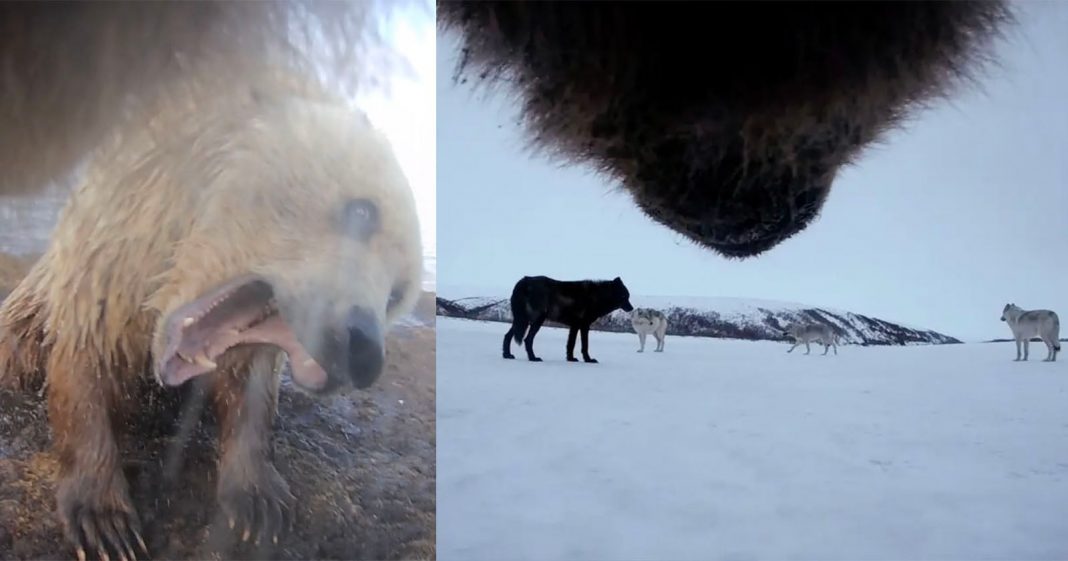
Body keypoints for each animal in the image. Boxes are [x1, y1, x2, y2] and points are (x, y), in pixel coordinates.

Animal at [0, 80, 423, 560]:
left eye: (397, 294)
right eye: (363, 211)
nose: (362, 347)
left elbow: (251, 393)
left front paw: (258, 507)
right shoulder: (102, 278)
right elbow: (80, 371)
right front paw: (105, 523)